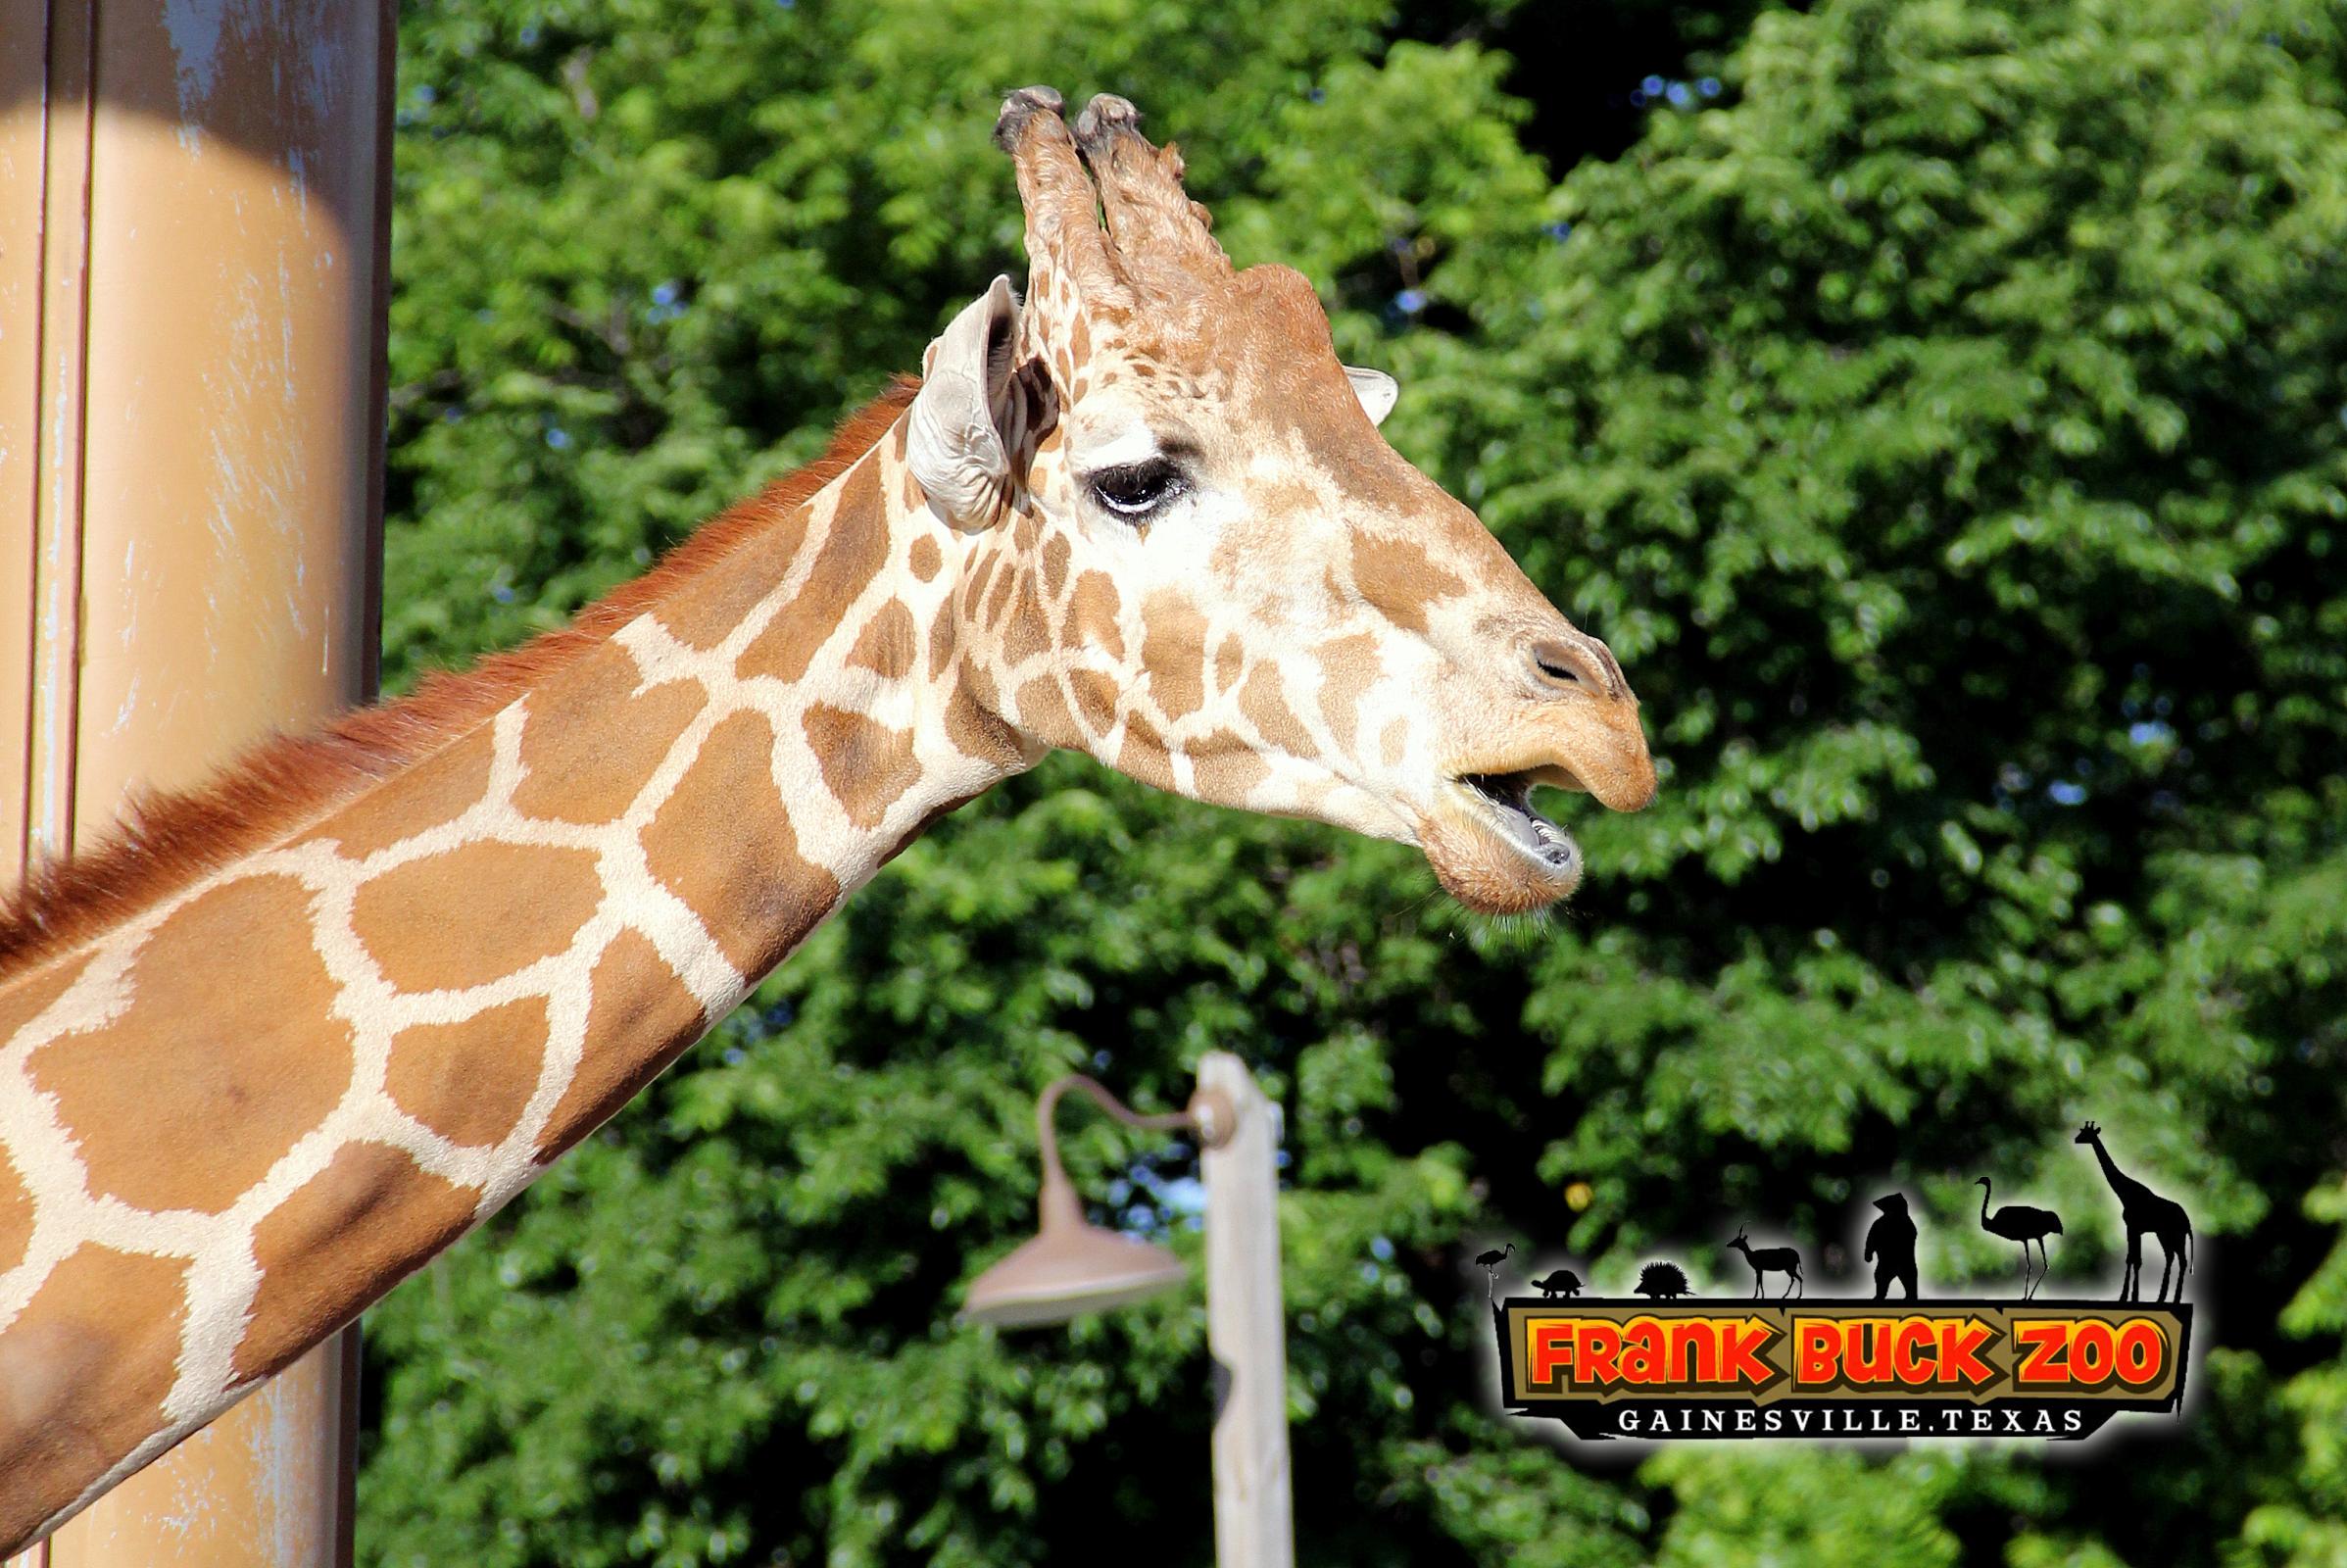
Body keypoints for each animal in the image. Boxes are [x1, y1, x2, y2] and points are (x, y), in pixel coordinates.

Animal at [2075, 1121, 2196, 1304]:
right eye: (2081, 1132)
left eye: (2086, 1134)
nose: (2076, 1139)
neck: (2125, 1193)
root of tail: (2188, 1222)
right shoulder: (2135, 1230)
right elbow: (2133, 1259)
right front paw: (2130, 1297)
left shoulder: (2132, 1227)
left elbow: (2134, 1260)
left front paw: (2128, 1297)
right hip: (2164, 1234)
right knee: (2171, 1257)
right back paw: (2161, 1298)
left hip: (2176, 1235)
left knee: (2182, 1260)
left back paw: (2174, 1300)